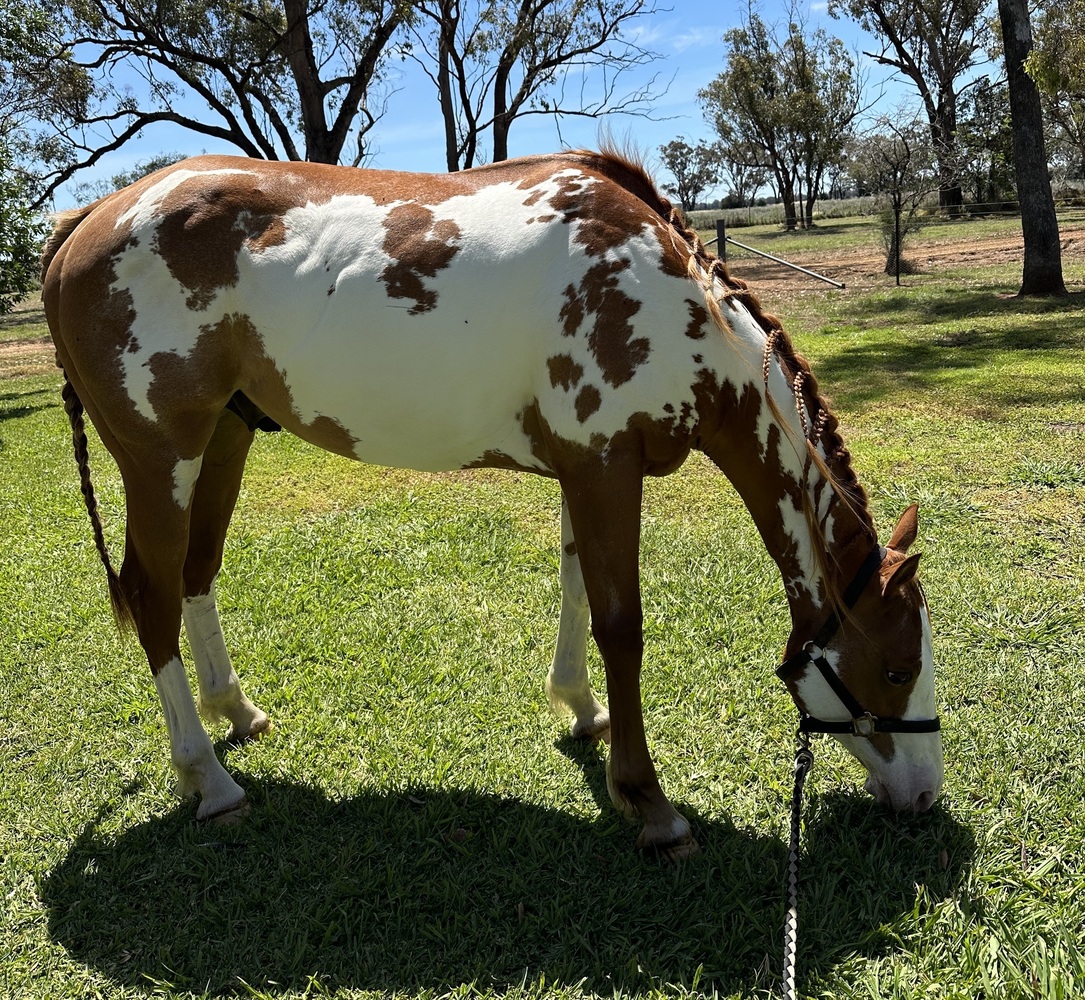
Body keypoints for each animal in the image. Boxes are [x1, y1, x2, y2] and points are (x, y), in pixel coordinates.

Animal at [41, 148, 942, 858]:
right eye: (897, 668)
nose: (927, 794)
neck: (666, 296)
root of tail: (86, 218)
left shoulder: (583, 472)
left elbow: (577, 597)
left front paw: (582, 712)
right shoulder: (604, 467)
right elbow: (622, 627)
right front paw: (649, 804)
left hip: (224, 439)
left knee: (198, 573)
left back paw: (237, 713)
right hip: (160, 459)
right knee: (154, 594)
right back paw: (209, 779)